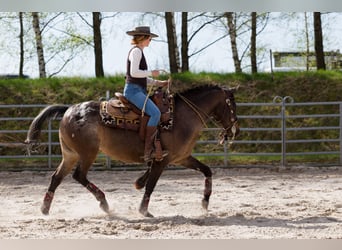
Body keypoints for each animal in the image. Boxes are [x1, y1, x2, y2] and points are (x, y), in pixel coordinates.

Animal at [25, 84, 239, 217]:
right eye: (232, 106)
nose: (234, 130)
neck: (181, 117)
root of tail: (70, 109)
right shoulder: (162, 160)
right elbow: (151, 184)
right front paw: (144, 210)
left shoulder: (181, 158)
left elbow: (207, 170)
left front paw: (205, 202)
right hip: (87, 154)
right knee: (79, 176)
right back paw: (104, 203)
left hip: (70, 155)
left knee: (56, 177)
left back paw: (45, 209)